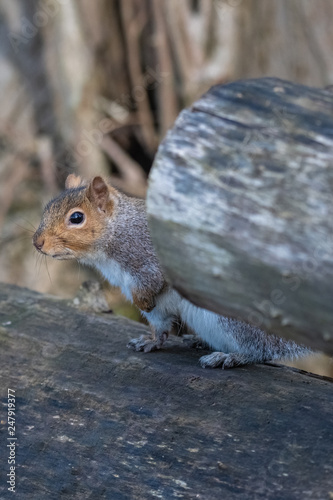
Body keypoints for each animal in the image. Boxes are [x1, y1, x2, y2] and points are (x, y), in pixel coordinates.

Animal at [32, 175, 310, 368]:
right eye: (46, 209)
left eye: (76, 218)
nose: (37, 242)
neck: (118, 232)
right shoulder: (138, 292)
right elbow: (159, 323)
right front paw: (152, 340)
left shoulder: (148, 263)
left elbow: (153, 285)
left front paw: (144, 303)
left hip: (232, 317)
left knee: (258, 350)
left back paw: (230, 356)